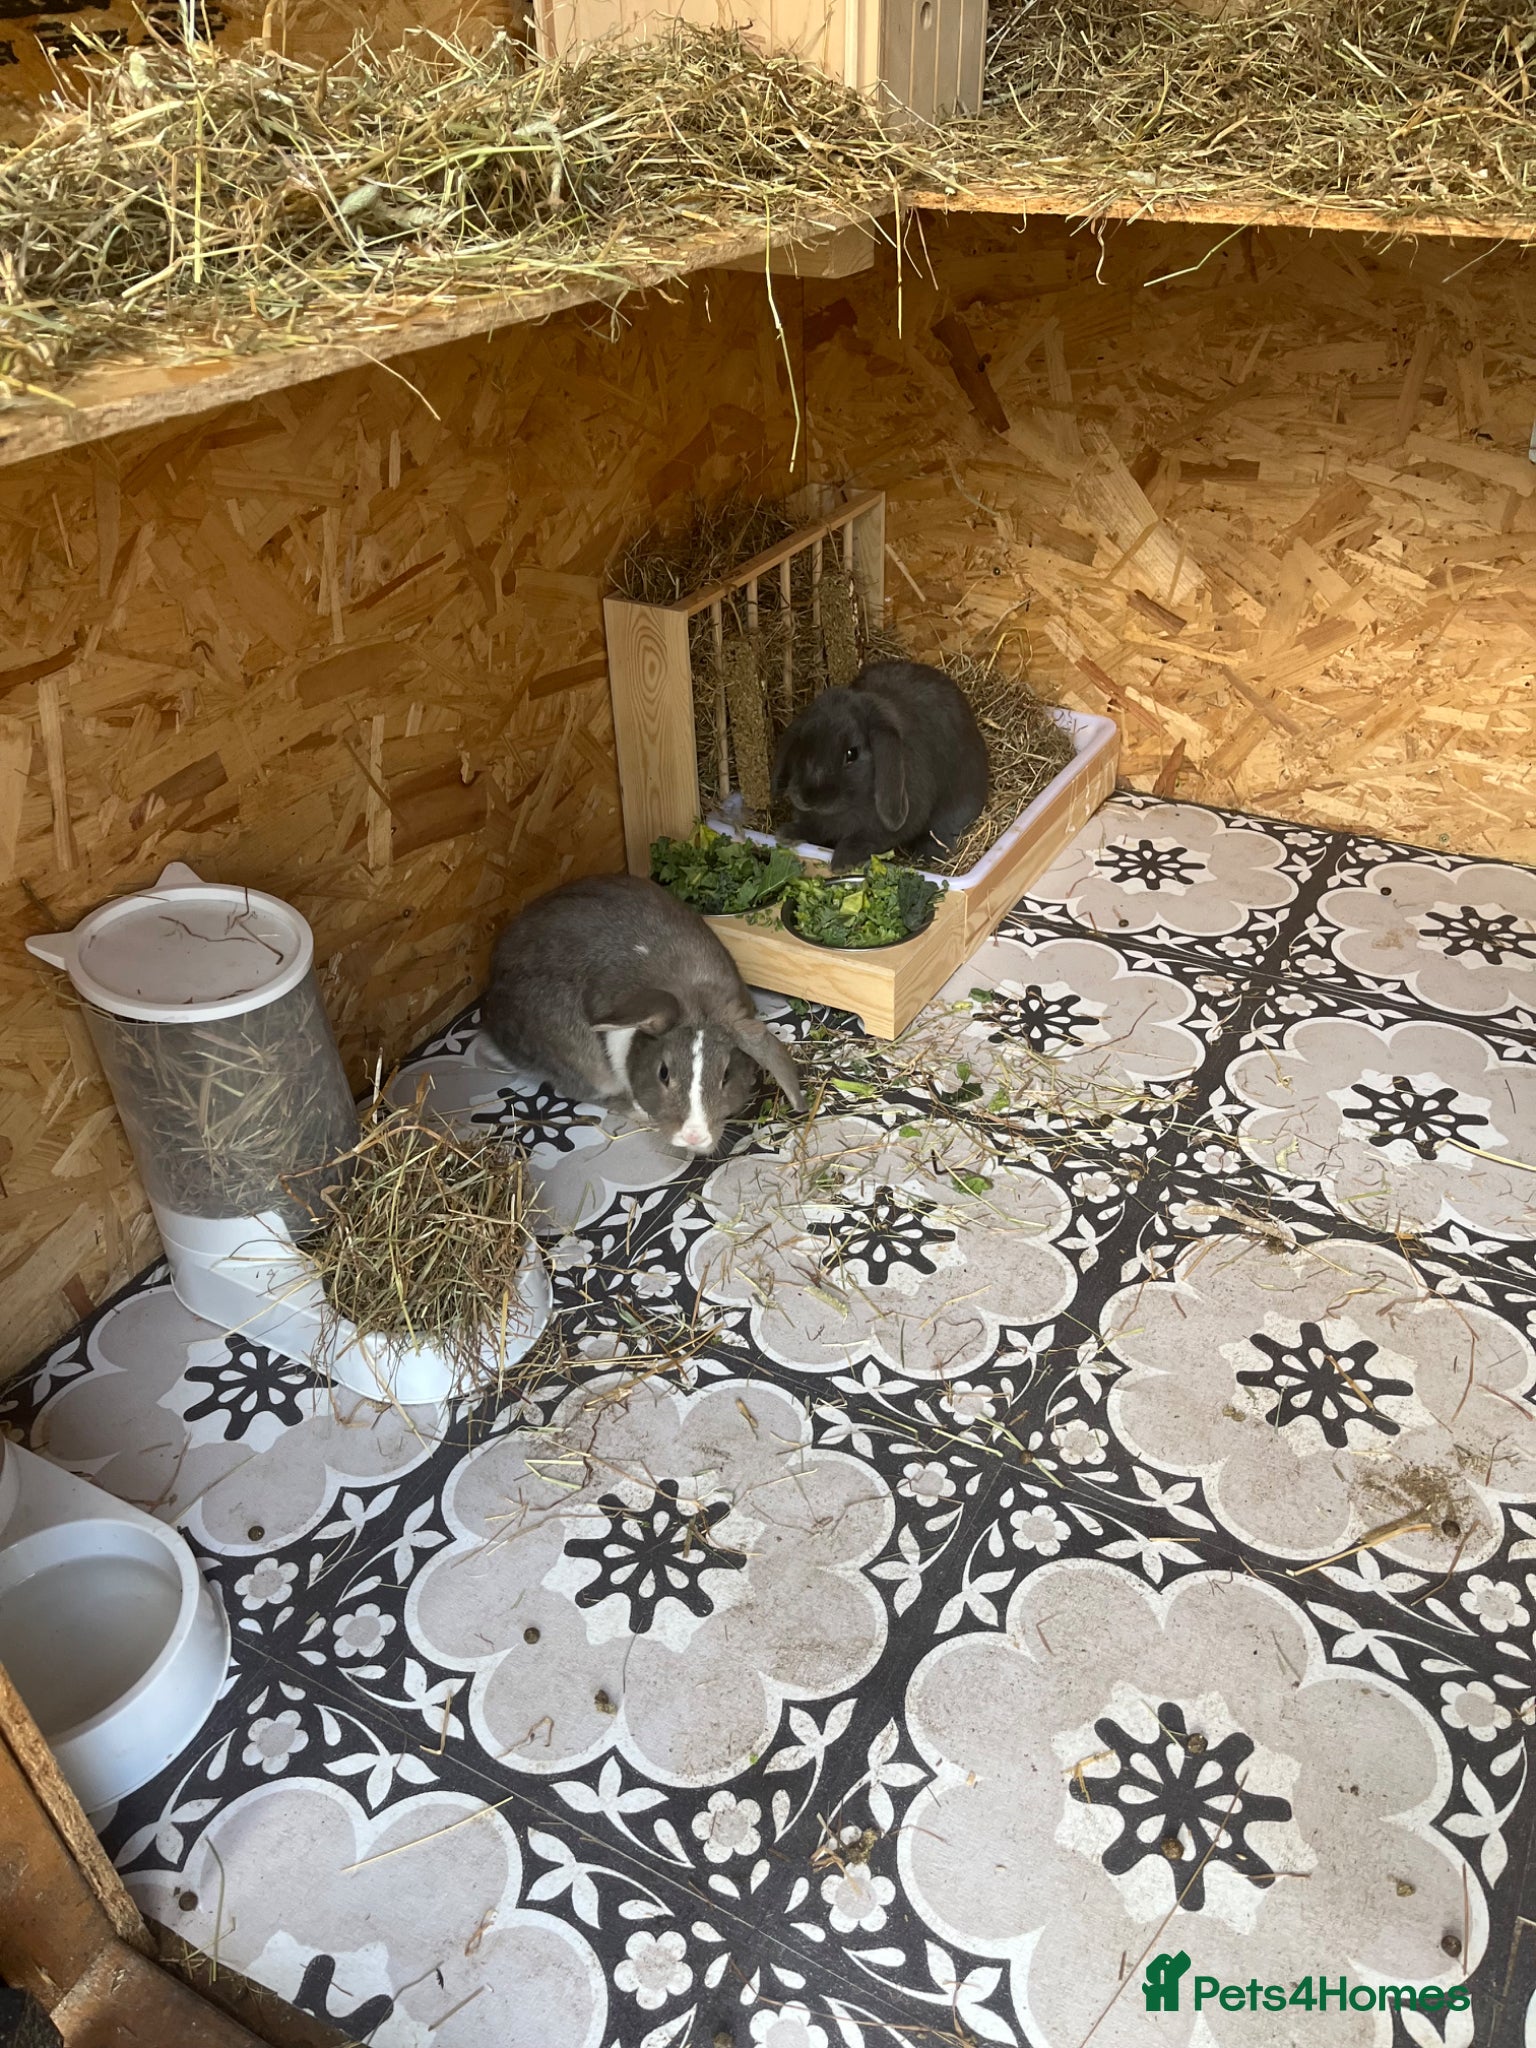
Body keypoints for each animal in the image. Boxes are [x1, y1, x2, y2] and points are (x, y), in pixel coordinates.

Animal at [772, 659, 989, 871]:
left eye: (851, 754)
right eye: (804, 744)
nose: (808, 798)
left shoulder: (887, 828)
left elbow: (867, 839)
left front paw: (843, 862)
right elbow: (813, 829)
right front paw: (787, 834)